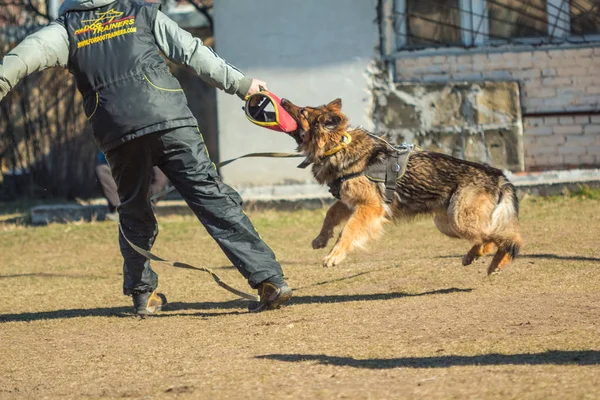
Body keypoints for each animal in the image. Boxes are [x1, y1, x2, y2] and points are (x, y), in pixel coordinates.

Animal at [280, 98, 520, 276]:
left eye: (302, 111)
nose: (282, 100)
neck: (338, 147)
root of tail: (497, 175)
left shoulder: (369, 207)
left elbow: (346, 230)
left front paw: (334, 256)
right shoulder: (350, 203)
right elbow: (330, 214)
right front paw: (321, 239)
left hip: (459, 220)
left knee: (503, 237)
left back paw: (497, 260)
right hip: (447, 223)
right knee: (486, 239)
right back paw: (475, 256)